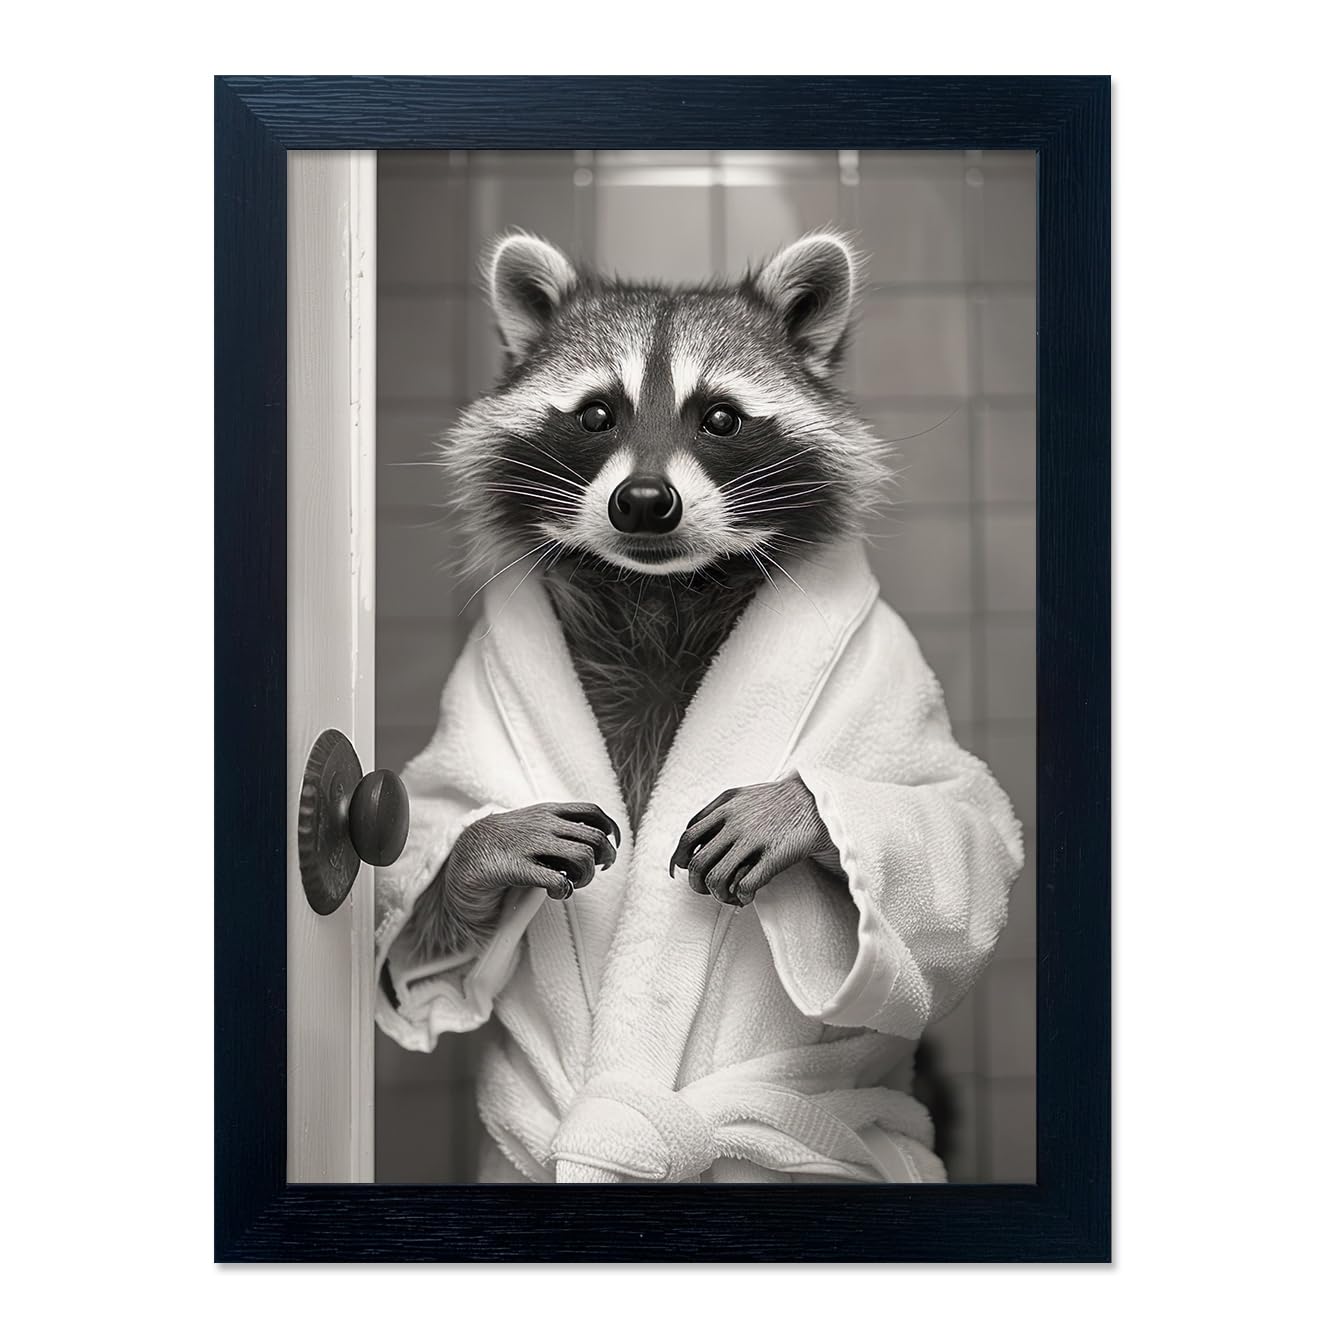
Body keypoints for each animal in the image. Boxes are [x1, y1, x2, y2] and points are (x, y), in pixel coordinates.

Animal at [402, 231, 890, 960]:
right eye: (597, 414)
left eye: (721, 418)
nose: (642, 500)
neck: (659, 587)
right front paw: (483, 842)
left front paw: (794, 808)